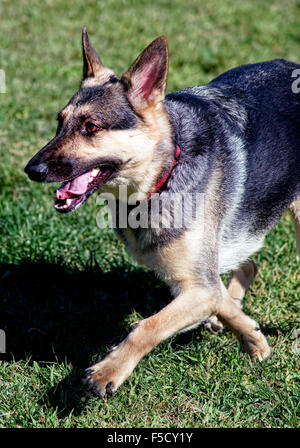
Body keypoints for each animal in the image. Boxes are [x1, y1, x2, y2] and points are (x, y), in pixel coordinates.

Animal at [25, 28, 300, 398]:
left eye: (91, 127)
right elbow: (219, 298)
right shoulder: (193, 282)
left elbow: (147, 326)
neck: (163, 174)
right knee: (247, 265)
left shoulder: (196, 288)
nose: (31, 170)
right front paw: (253, 338)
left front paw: (109, 370)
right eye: (59, 123)